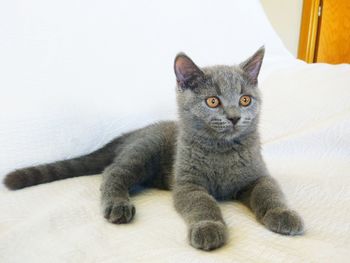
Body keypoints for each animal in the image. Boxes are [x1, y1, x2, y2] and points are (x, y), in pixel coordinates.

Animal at [2, 47, 304, 252]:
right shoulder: (187, 184)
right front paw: (209, 228)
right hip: (144, 151)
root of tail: (136, 131)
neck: (222, 151)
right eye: (213, 101)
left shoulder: (257, 174)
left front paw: (283, 215)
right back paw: (118, 204)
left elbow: (269, 192)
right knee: (114, 171)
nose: (233, 117)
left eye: (244, 99)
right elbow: (203, 203)